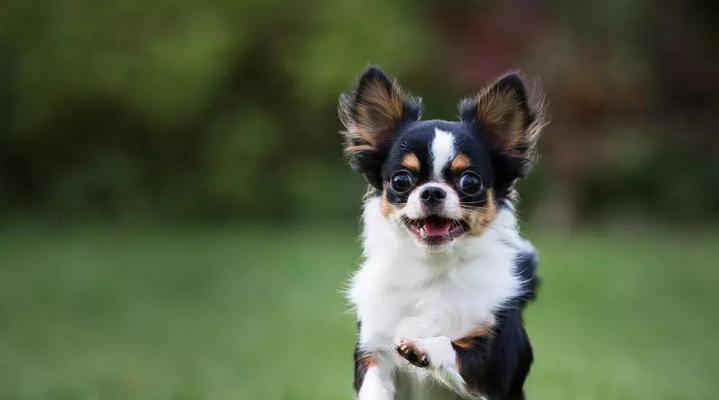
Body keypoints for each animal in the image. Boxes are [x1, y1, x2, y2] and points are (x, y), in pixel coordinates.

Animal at [340, 67, 548, 398]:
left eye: (470, 182)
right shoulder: (373, 353)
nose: (432, 192)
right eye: (401, 180)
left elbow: (451, 347)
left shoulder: (491, 367)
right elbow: (373, 384)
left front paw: (421, 347)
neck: (432, 270)